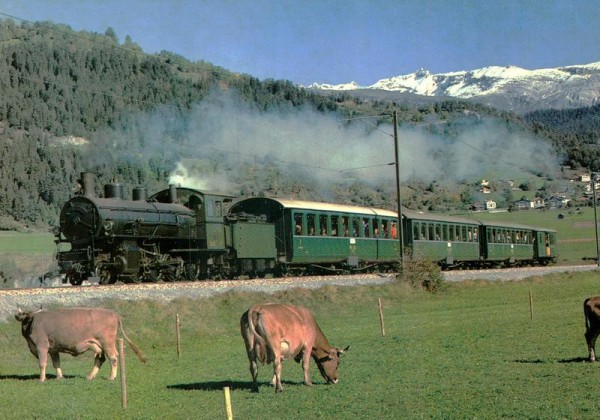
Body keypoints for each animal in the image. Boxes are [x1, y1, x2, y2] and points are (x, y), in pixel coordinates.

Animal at [15, 306, 146, 382]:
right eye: (24, 318)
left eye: (28, 318)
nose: (27, 318)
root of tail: (113, 312)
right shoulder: (54, 349)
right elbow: (56, 363)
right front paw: (60, 377)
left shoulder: (41, 346)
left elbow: (42, 364)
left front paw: (41, 379)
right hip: (99, 346)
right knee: (100, 359)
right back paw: (90, 376)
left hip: (107, 343)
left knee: (113, 358)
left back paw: (111, 377)